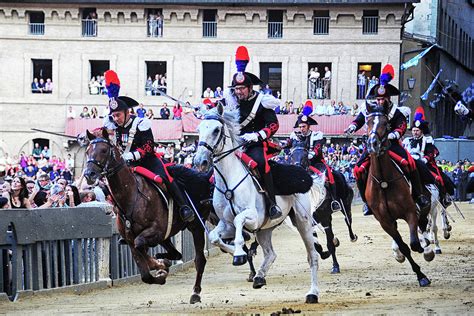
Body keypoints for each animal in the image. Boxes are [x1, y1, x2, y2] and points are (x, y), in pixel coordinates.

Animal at [83, 128, 213, 304]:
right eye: (87, 151)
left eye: (103, 150)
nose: (89, 174)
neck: (132, 196)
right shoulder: (131, 240)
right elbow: (145, 274)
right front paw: (161, 268)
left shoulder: (154, 231)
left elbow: (141, 246)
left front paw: (159, 265)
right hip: (167, 236)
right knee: (176, 254)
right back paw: (164, 259)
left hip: (196, 226)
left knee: (200, 260)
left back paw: (195, 293)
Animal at [193, 104, 322, 304]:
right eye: (199, 129)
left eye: (216, 130)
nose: (200, 161)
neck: (229, 181)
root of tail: (305, 175)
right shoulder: (226, 224)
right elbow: (214, 237)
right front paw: (239, 253)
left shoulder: (252, 217)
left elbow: (239, 221)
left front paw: (239, 254)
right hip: (265, 230)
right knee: (270, 253)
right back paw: (259, 276)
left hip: (303, 222)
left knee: (312, 256)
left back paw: (312, 293)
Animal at [364, 105, 436, 286]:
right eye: (368, 122)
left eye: (385, 123)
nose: (373, 143)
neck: (383, 181)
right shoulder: (385, 222)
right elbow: (404, 246)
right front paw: (420, 275)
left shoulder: (410, 212)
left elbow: (414, 243)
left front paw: (424, 251)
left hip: (424, 206)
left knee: (423, 224)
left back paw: (428, 249)